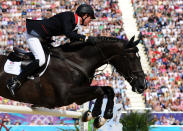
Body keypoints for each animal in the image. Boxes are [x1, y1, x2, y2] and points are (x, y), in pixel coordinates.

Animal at [0, 35, 147, 128]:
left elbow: (108, 89)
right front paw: (94, 114)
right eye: (131, 58)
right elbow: (99, 90)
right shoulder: (67, 96)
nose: (142, 86)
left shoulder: (78, 98)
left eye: (139, 57)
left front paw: (103, 117)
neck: (76, 62)